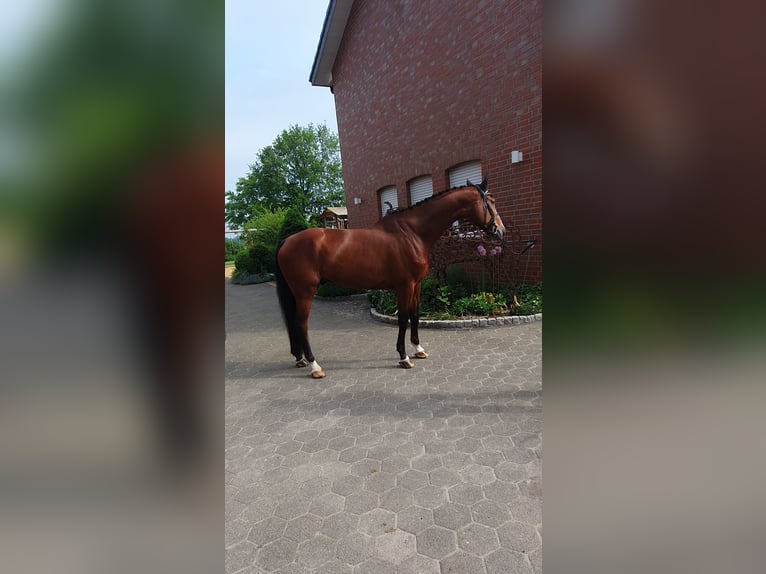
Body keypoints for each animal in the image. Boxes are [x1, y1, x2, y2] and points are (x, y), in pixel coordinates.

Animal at [272, 178, 508, 380]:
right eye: (491, 201)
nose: (501, 231)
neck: (412, 233)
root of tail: (287, 240)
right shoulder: (404, 286)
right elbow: (403, 318)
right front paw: (403, 357)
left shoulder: (417, 285)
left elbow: (415, 314)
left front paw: (418, 349)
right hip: (305, 292)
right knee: (301, 324)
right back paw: (315, 366)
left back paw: (301, 359)